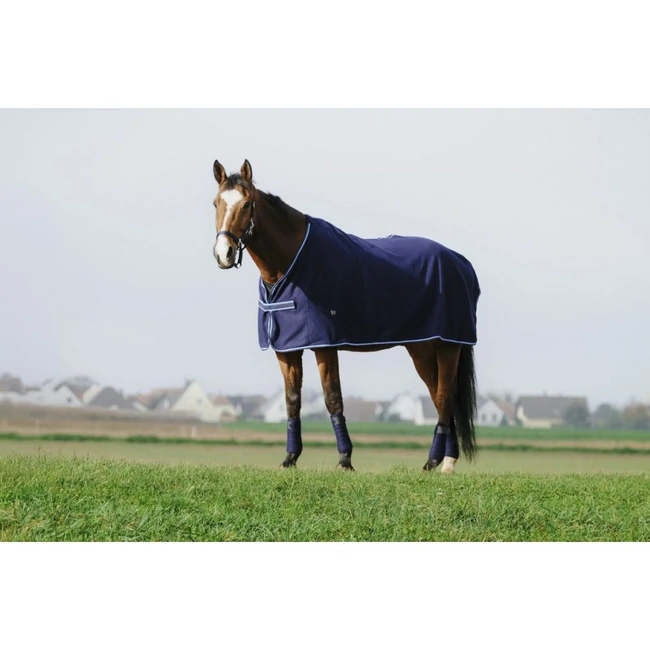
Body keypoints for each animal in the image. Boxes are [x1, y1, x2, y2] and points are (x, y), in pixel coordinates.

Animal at [211, 159, 481, 473]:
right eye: (216, 203)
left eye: (246, 204)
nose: (224, 254)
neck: (291, 265)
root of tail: (459, 262)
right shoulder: (286, 349)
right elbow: (292, 401)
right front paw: (290, 458)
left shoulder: (324, 345)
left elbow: (333, 399)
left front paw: (344, 460)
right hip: (422, 349)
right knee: (441, 398)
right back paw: (444, 463)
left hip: (449, 346)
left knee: (444, 397)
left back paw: (436, 462)